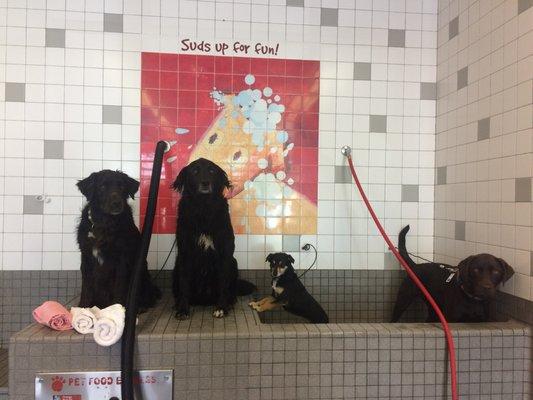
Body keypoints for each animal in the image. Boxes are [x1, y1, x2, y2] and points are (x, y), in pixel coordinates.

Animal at [76, 169, 161, 310]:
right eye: (102, 187)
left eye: (121, 186)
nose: (116, 204)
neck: (106, 224)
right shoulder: (86, 257)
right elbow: (86, 288)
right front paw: (82, 308)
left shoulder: (122, 261)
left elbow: (119, 288)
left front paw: (118, 309)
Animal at [170, 158, 254, 318]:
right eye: (195, 171)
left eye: (211, 171)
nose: (205, 183)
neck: (204, 207)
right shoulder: (185, 252)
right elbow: (184, 283)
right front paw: (183, 309)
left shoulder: (225, 252)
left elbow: (223, 283)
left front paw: (221, 307)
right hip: (176, 266)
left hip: (234, 262)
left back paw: (229, 301)